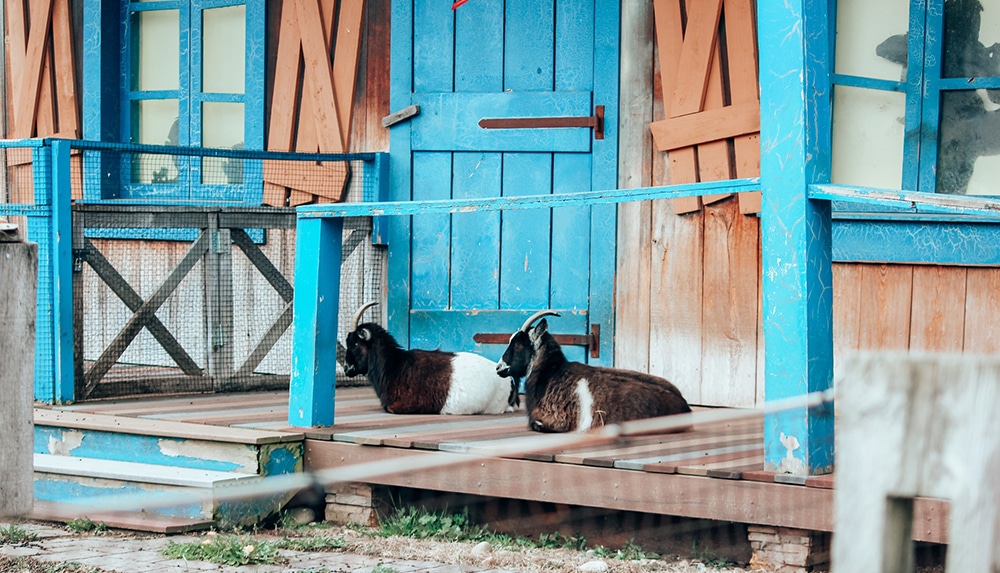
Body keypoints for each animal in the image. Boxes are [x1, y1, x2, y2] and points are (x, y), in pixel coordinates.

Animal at [496, 310, 692, 432]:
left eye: (518, 345)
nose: (499, 368)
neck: (551, 373)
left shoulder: (556, 420)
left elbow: (536, 424)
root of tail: (685, 408)